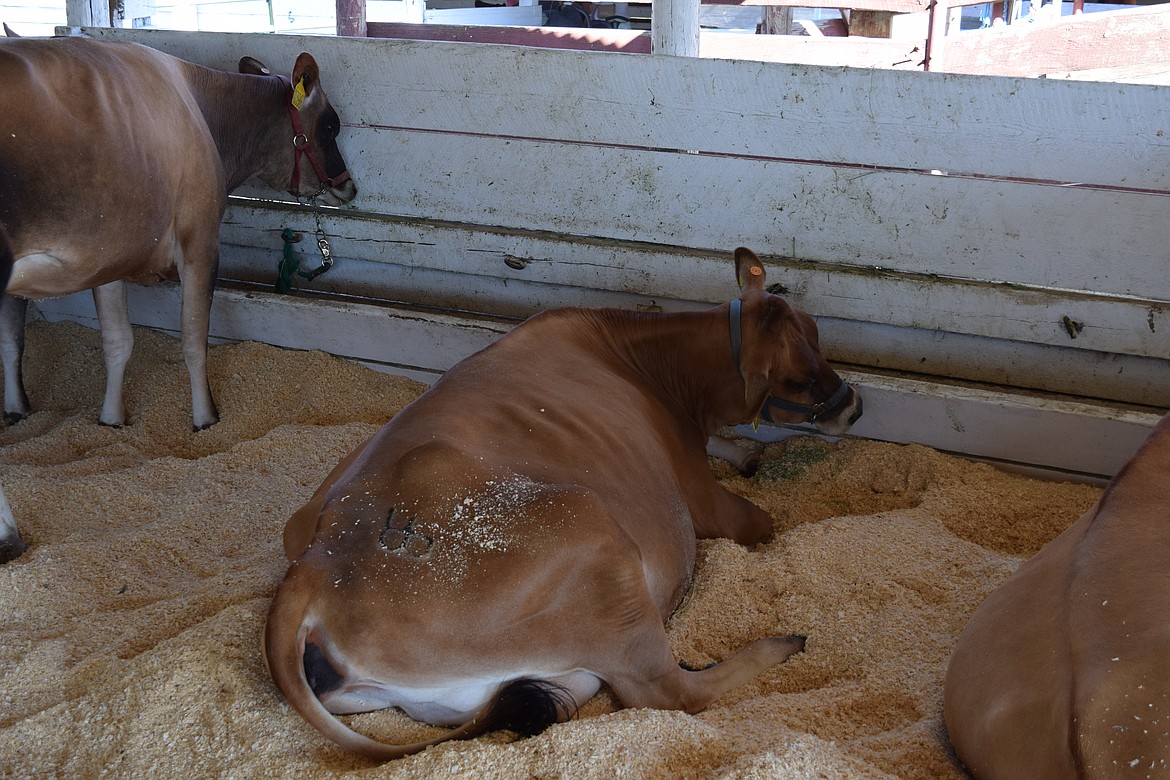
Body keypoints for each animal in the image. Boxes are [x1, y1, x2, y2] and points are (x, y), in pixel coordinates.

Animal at [265, 246, 865, 757]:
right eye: (797, 378)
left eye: (818, 335)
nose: (854, 407)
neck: (651, 367)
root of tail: (315, 566)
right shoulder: (702, 498)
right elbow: (761, 521)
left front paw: (746, 451)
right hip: (596, 542)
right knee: (667, 693)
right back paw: (780, 643)